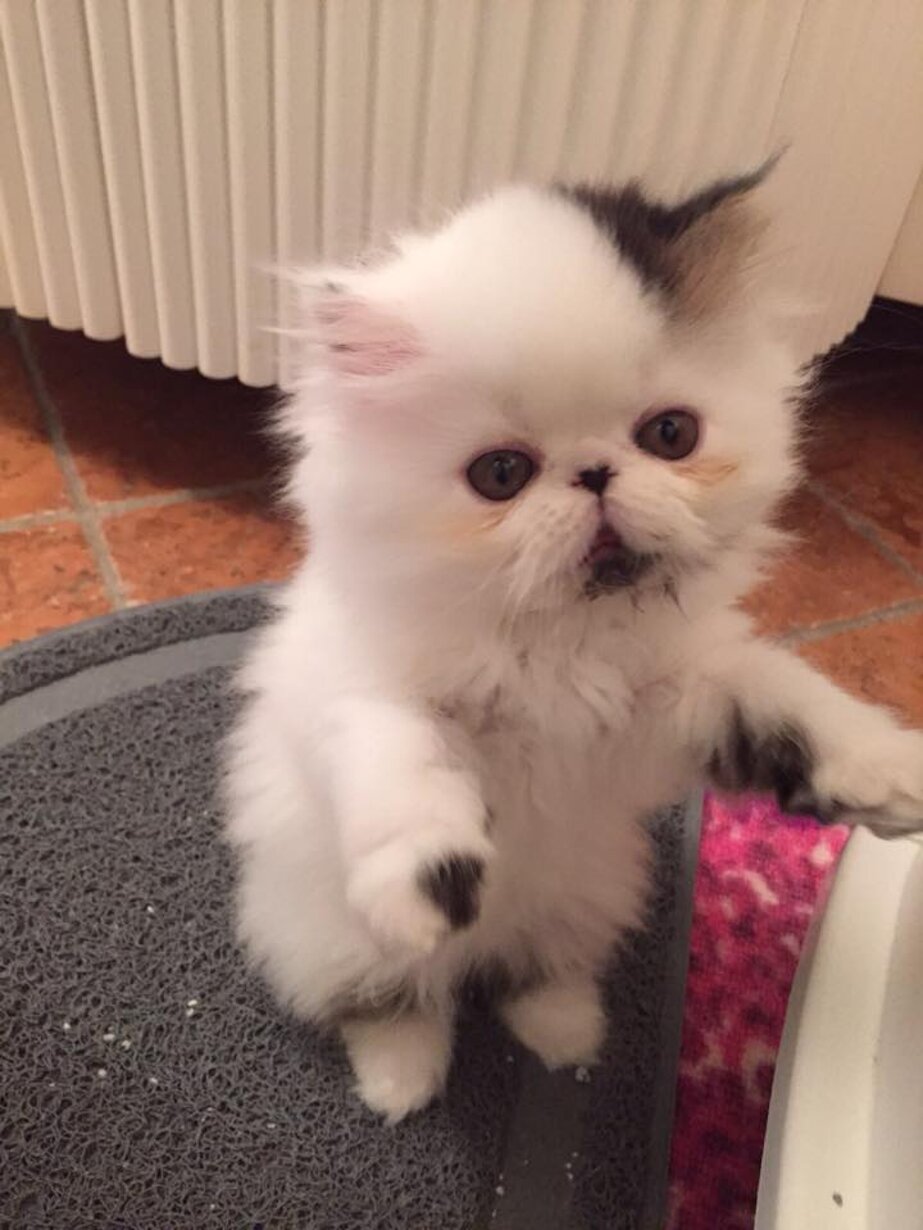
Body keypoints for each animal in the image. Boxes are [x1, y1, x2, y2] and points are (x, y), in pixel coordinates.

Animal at [224, 169, 923, 1122]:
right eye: (500, 475)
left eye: (670, 434)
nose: (593, 472)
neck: (561, 643)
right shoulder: (357, 693)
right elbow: (403, 765)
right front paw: (428, 881)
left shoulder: (670, 707)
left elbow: (790, 700)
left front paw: (888, 780)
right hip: (330, 935)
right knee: (395, 998)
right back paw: (402, 1082)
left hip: (585, 894)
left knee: (534, 971)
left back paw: (564, 1037)